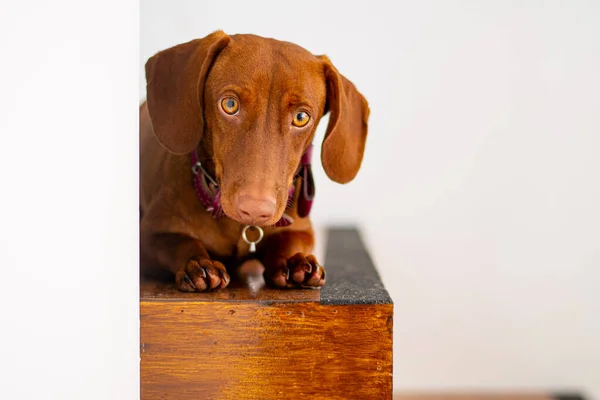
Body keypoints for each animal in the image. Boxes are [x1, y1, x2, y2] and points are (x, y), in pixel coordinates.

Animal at [140, 31, 368, 292]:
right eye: (230, 104)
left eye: (301, 117)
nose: (255, 210)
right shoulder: (150, 236)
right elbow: (179, 243)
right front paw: (198, 263)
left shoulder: (299, 230)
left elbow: (289, 242)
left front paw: (293, 261)